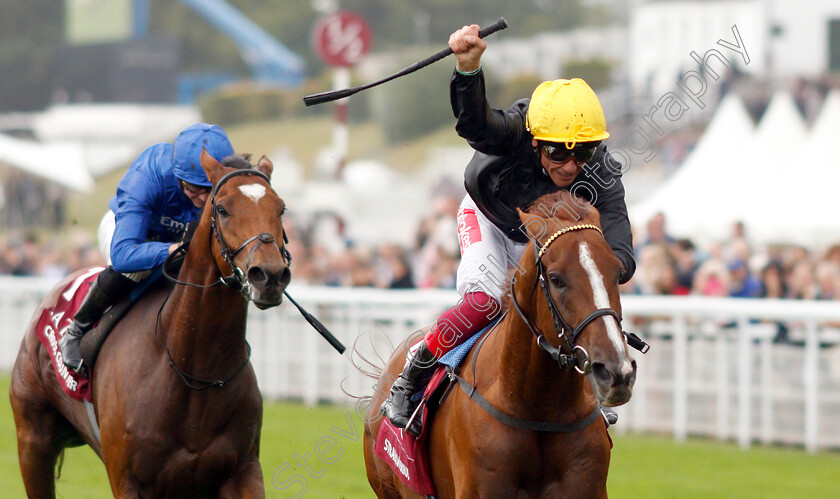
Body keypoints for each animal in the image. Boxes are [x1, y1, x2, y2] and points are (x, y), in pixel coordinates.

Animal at [8, 150, 292, 498]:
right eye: (223, 209)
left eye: (280, 208)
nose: (270, 275)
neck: (194, 370)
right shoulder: (129, 478)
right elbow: (127, 253)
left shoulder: (242, 470)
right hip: (33, 439)